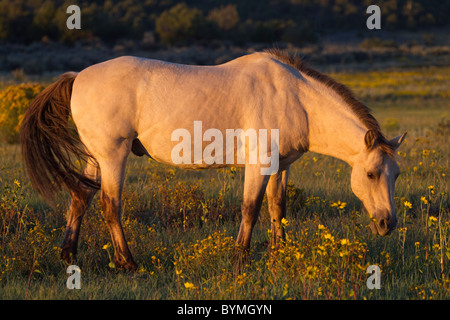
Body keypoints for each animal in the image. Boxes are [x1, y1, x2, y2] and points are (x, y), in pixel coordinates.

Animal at [20, 49, 408, 270]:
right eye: (371, 174)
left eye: (396, 175)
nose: (387, 224)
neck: (296, 98)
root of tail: (78, 77)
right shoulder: (258, 164)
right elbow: (250, 208)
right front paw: (239, 259)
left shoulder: (279, 166)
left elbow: (277, 207)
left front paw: (279, 254)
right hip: (113, 155)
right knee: (109, 205)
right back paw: (127, 263)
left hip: (95, 158)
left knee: (80, 197)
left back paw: (68, 255)